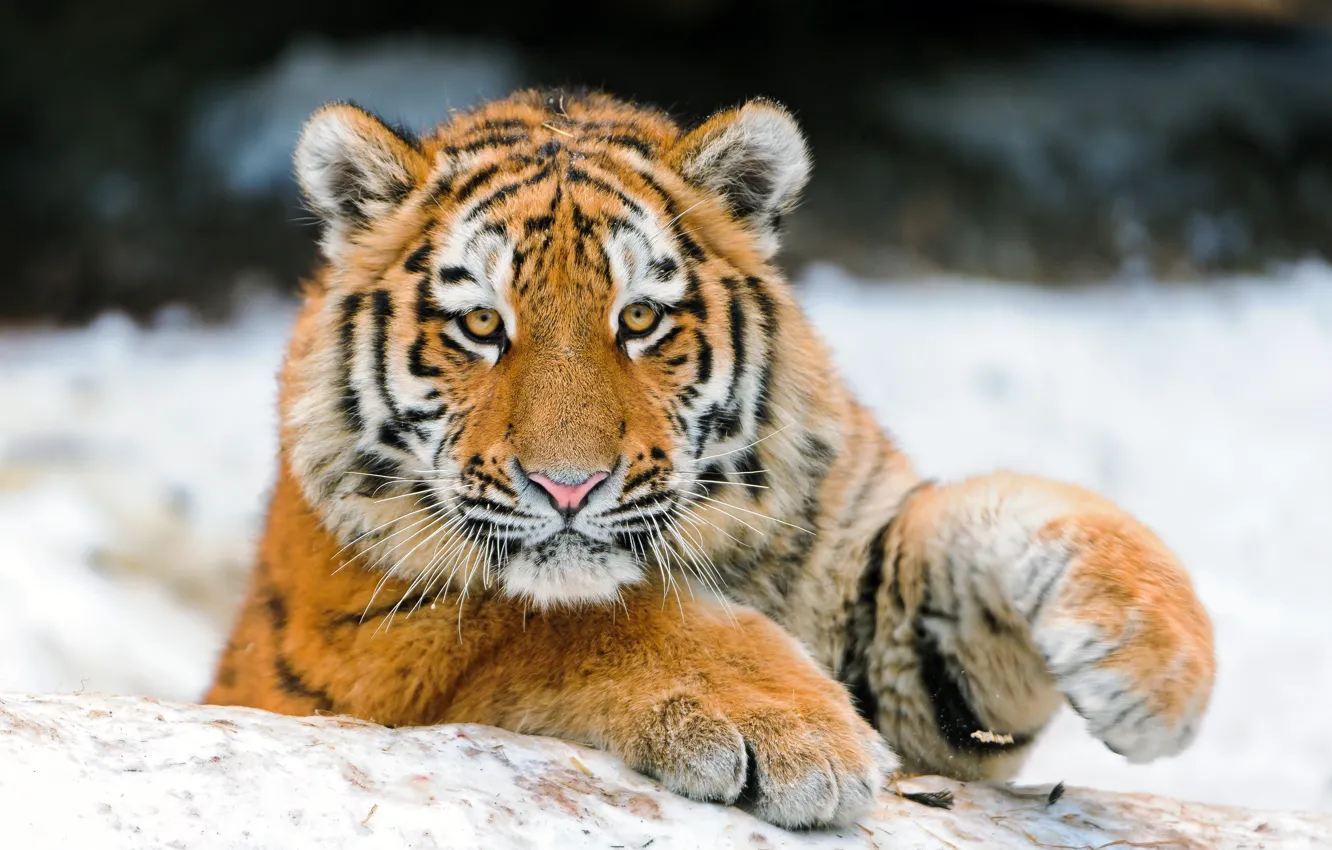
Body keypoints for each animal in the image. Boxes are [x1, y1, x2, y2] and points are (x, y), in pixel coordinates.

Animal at [206, 90, 1215, 830]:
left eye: (641, 318)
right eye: (482, 325)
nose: (567, 486)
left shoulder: (877, 604)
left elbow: (1003, 510)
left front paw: (1155, 660)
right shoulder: (369, 643)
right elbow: (565, 619)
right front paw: (789, 730)